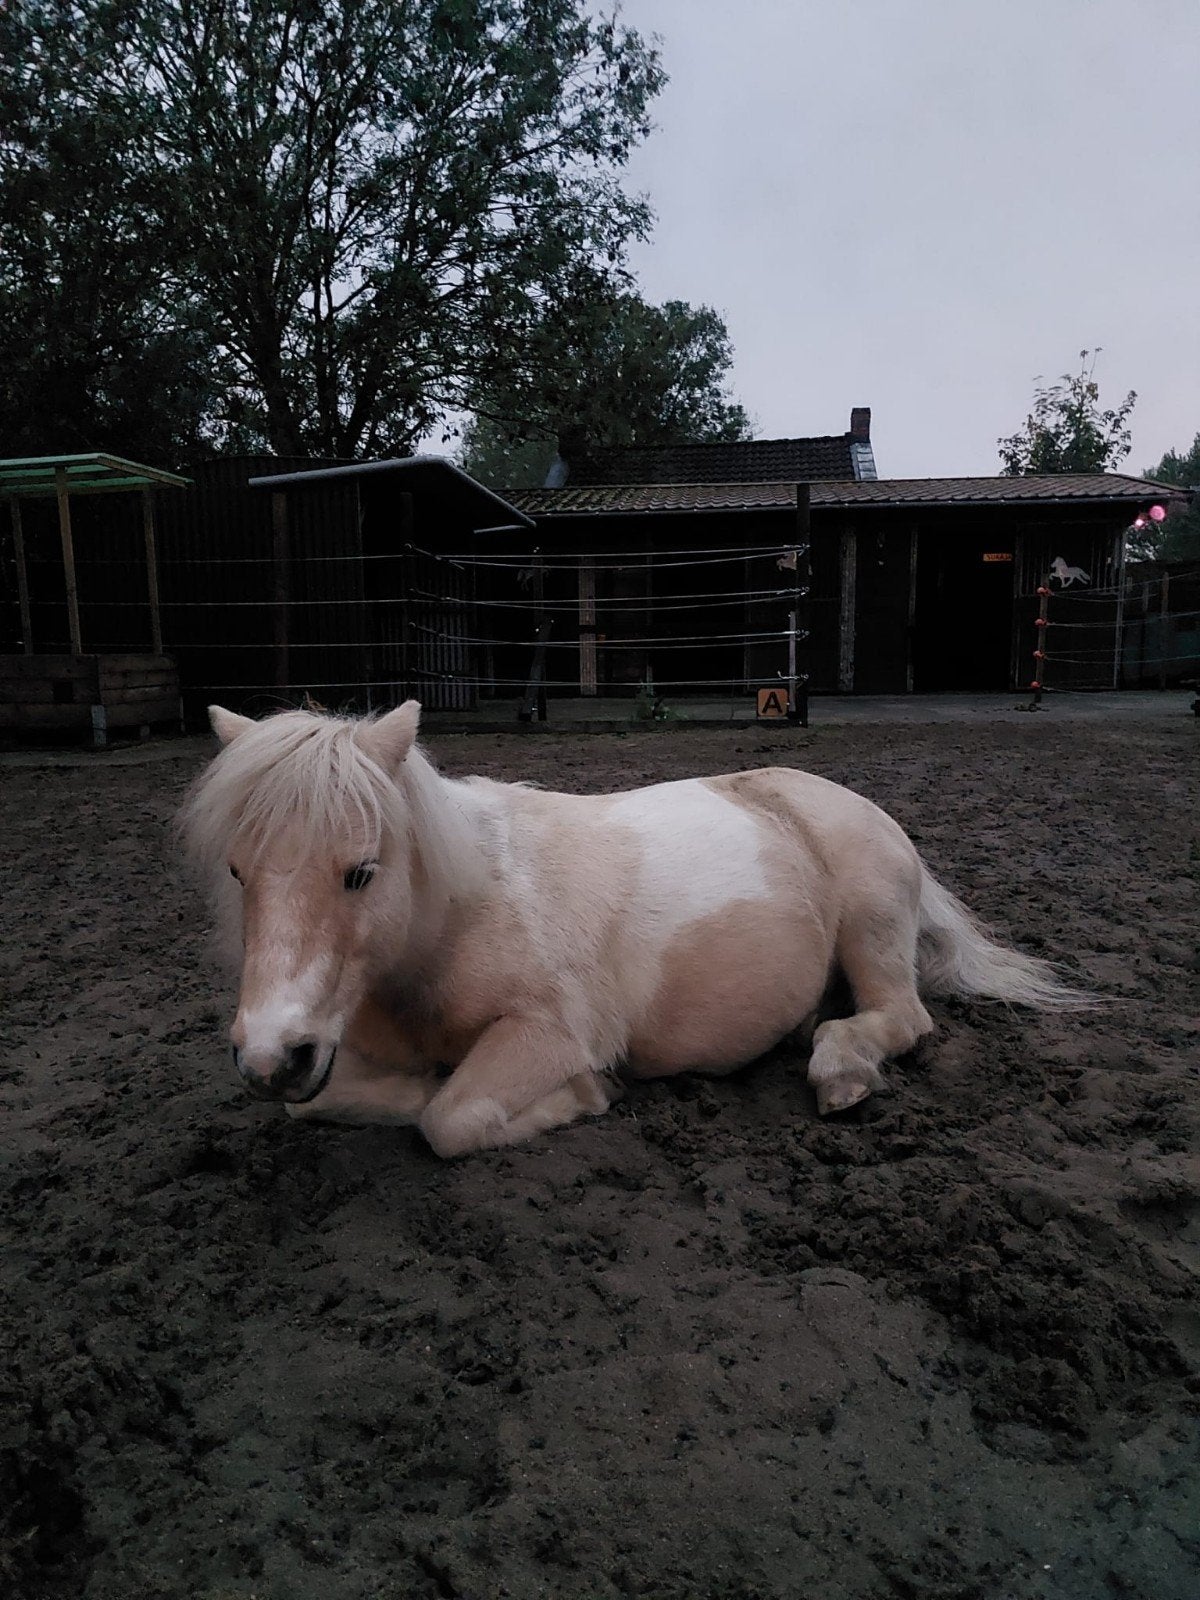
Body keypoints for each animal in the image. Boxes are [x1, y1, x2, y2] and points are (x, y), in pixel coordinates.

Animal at [179, 702, 1088, 1158]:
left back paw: (841, 1068)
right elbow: (325, 1106)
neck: (458, 916)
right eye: (238, 872)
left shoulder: (547, 1031)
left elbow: (450, 1119)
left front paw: (582, 1097)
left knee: (902, 1015)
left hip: (871, 924)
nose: (270, 1057)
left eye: (361, 871)